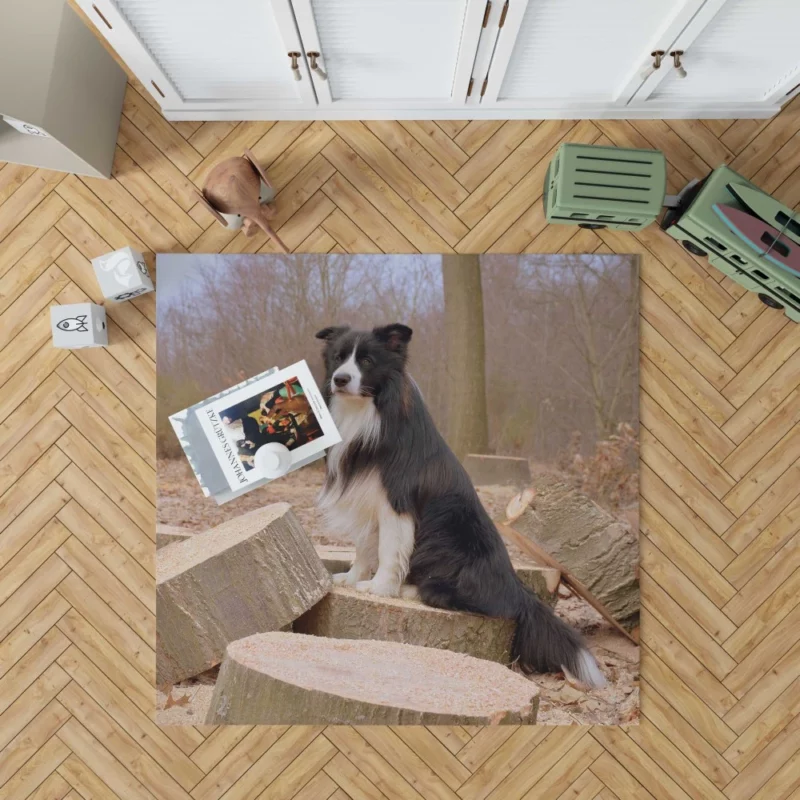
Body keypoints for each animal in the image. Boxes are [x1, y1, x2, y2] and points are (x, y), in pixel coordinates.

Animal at [316, 322, 604, 684]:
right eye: (338, 357)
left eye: (367, 361)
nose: (340, 379)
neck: (368, 410)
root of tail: (518, 590)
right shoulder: (368, 500)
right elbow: (365, 547)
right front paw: (352, 579)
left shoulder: (396, 501)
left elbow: (389, 550)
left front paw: (380, 587)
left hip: (449, 543)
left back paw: (411, 590)